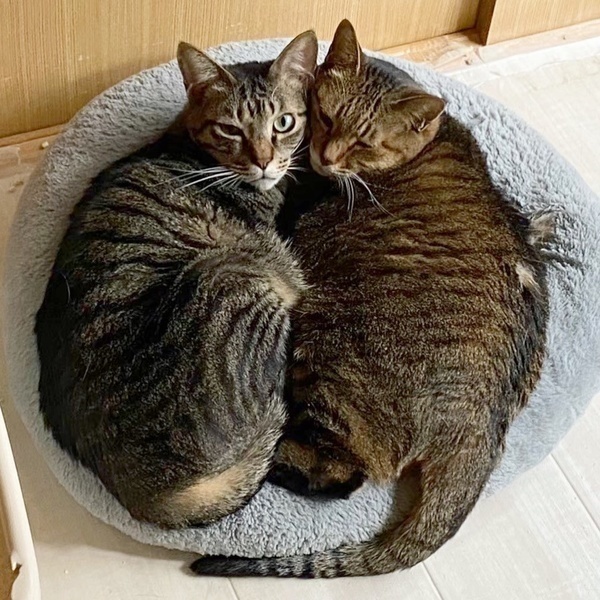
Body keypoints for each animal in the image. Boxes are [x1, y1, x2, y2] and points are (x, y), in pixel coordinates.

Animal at [191, 20, 550, 576]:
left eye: (362, 142)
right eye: (324, 116)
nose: (324, 157)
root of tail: (479, 430)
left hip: (325, 362)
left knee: (340, 474)